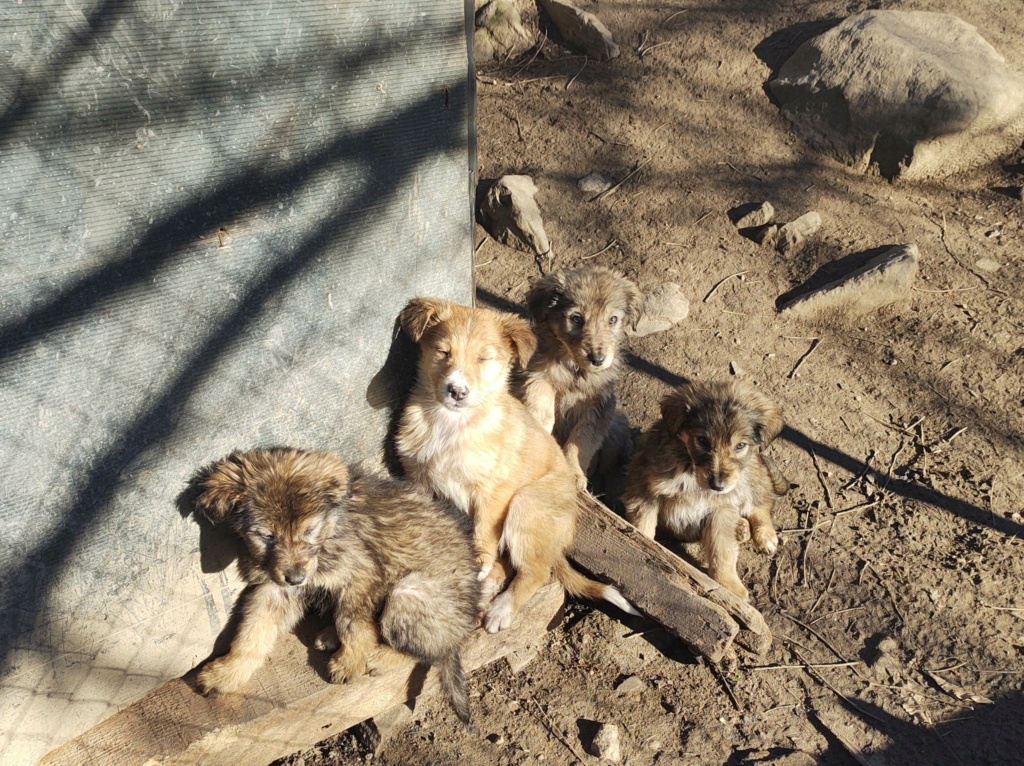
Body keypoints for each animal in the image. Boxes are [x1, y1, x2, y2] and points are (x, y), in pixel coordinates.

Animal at [192, 446, 479, 720]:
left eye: (309, 530)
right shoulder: (275, 590)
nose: (295, 578)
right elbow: (251, 633)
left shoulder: (360, 575)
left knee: (430, 651)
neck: (328, 535)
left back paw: (379, 656)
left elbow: (352, 624)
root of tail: (462, 627)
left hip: (408, 592)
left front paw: (350, 662)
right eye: (267, 535)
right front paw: (227, 673)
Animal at [393, 299, 638, 634]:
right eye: (443, 353)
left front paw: (478, 561)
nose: (457, 391)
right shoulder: (418, 479)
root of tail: (559, 546)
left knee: (535, 572)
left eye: (484, 358)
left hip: (527, 504)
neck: (452, 424)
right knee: (511, 565)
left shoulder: (494, 491)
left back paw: (501, 610)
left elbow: (483, 530)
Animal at [520, 264, 638, 491]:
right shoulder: (537, 377)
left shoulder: (599, 406)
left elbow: (582, 441)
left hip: (617, 424)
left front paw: (574, 473)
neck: (575, 370)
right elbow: (542, 409)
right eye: (577, 318)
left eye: (612, 320)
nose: (597, 359)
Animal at [618, 380, 786, 602]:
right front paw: (640, 549)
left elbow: (723, 551)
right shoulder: (645, 488)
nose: (718, 485)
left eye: (740, 445)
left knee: (762, 503)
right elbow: (642, 526)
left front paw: (729, 587)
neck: (691, 470)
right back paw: (742, 528)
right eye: (703, 441)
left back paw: (764, 536)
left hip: (750, 476)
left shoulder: (722, 509)